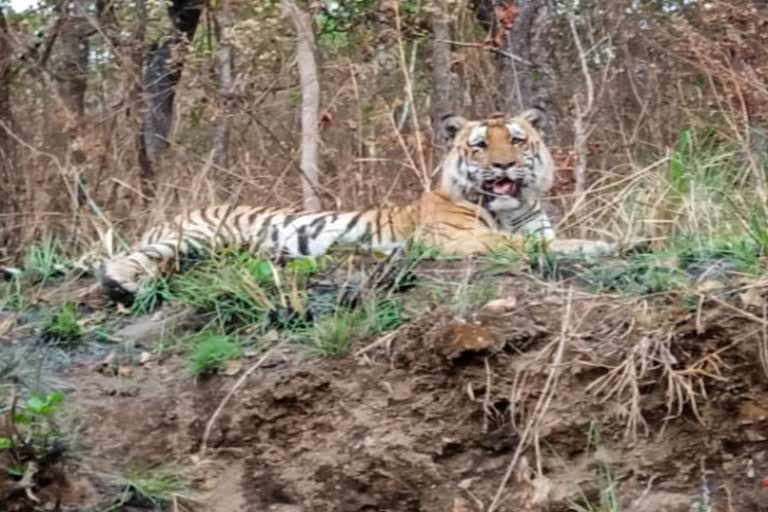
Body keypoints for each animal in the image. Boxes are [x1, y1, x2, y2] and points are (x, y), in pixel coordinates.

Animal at [99, 108, 616, 300]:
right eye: (480, 146)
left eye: (516, 140)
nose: (505, 165)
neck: (506, 210)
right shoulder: (456, 240)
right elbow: (521, 247)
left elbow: (557, 241)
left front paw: (603, 243)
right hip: (192, 236)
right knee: (125, 258)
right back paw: (122, 282)